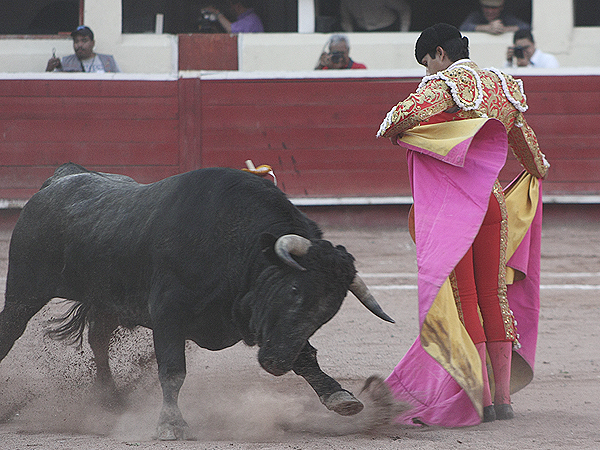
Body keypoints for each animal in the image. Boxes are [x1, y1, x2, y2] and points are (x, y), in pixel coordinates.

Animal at [0, 164, 394, 440]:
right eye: (294, 291)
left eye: (327, 313)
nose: (276, 364)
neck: (237, 246)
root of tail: (59, 180)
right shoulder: (168, 314)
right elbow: (173, 371)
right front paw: (171, 425)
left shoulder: (270, 328)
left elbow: (307, 356)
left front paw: (340, 396)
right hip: (24, 289)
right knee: (10, 329)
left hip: (108, 300)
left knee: (98, 338)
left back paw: (110, 401)